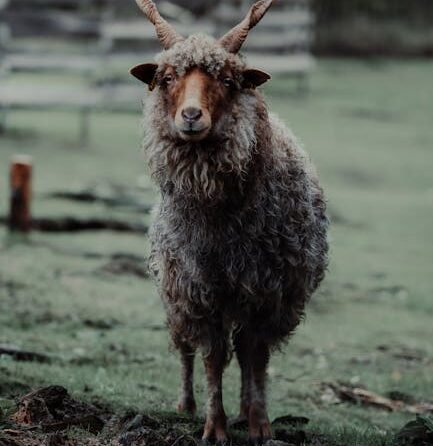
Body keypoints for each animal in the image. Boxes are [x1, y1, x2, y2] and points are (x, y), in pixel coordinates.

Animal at [128, 1, 328, 444]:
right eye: (167, 78)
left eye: (227, 79)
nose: (190, 116)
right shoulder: (200, 290)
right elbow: (213, 358)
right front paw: (213, 425)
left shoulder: (270, 293)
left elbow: (255, 358)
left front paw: (259, 423)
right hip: (175, 295)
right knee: (186, 348)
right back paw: (186, 404)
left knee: (247, 354)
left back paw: (243, 410)